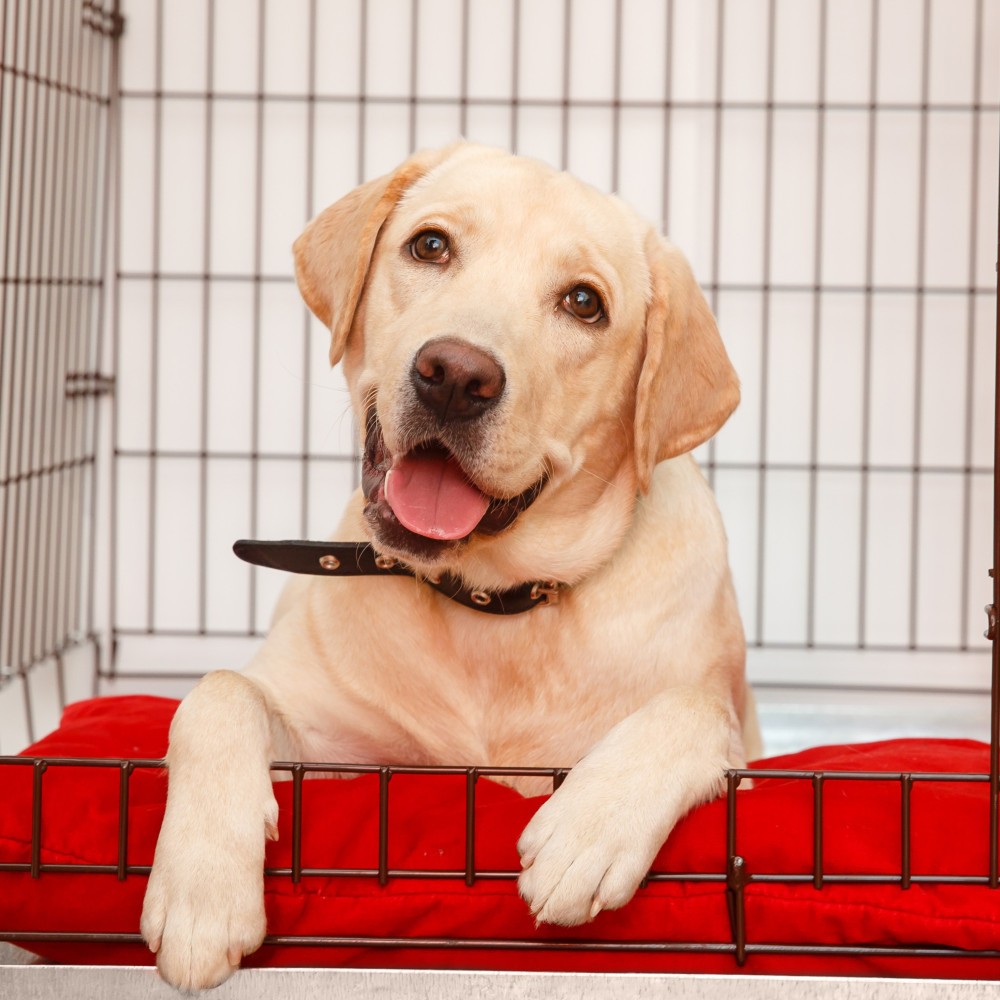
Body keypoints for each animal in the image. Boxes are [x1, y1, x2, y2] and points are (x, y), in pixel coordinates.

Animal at [141, 143, 760, 992]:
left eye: (585, 303)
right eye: (430, 245)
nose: (457, 375)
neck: (490, 605)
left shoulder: (748, 759)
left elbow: (695, 709)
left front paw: (589, 827)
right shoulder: (334, 752)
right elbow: (217, 692)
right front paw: (200, 889)